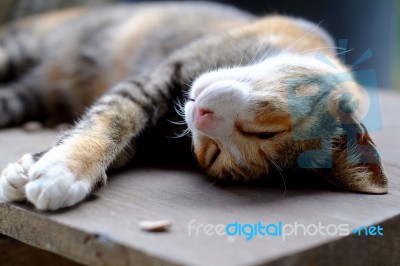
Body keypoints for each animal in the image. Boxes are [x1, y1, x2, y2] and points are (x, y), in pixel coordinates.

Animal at [0, 1, 388, 210]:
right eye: (266, 130)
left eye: (213, 154)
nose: (200, 115)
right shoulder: (157, 78)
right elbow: (113, 118)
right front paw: (62, 170)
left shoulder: (155, 138)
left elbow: (123, 143)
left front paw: (43, 169)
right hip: (20, 46)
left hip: (30, 96)